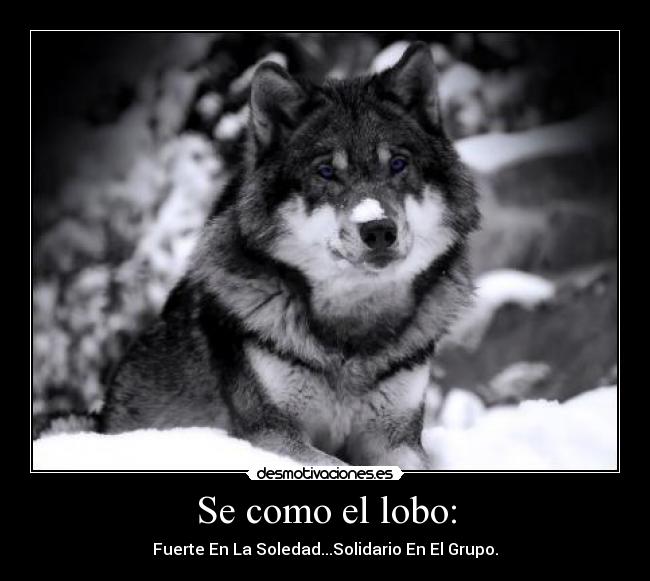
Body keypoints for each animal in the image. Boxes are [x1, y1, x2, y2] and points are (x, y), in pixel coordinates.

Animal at [100, 42, 480, 468]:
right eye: (326, 171)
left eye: (398, 164)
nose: (378, 229)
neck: (351, 334)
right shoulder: (270, 433)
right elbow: (333, 463)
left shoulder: (396, 438)